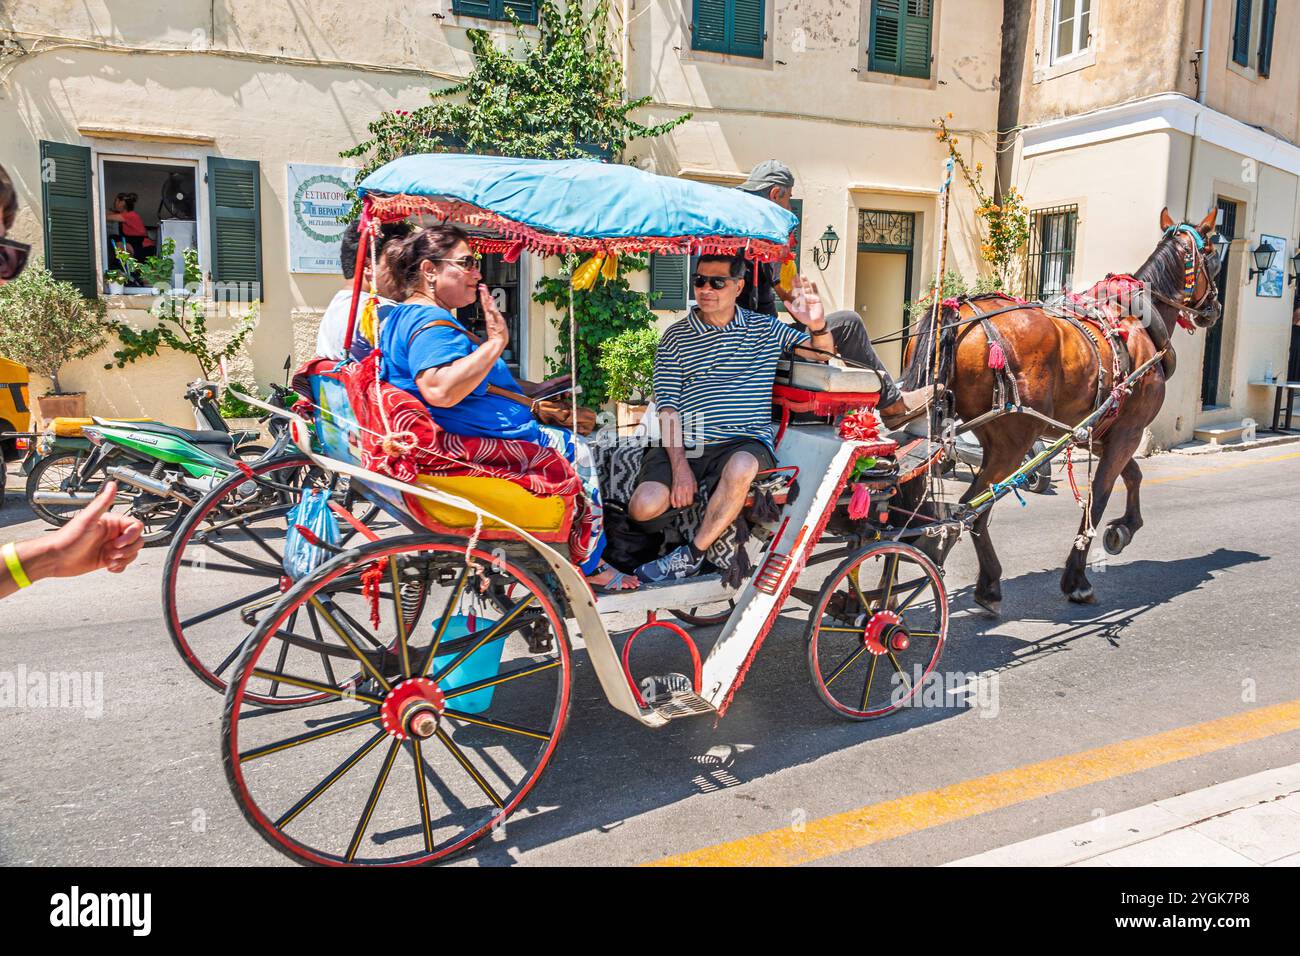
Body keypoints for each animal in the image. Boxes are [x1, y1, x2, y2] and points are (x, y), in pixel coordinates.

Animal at [904, 209, 1216, 613]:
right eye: (1214, 254)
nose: (1215, 310)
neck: (1137, 321)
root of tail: (958, 313)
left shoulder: (1101, 433)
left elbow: (1133, 476)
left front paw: (1124, 528)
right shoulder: (1128, 432)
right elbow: (1099, 496)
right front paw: (1077, 578)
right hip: (1012, 441)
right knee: (972, 507)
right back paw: (987, 582)